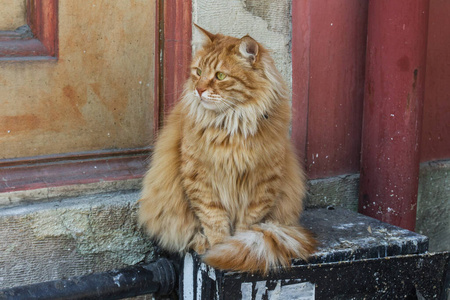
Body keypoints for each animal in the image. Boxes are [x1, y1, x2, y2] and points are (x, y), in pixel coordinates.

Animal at [138, 25, 316, 274]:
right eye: (198, 72)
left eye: (220, 76)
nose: (198, 89)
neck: (232, 124)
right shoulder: (200, 178)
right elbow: (213, 219)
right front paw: (219, 247)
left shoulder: (263, 181)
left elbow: (247, 223)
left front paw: (237, 246)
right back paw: (200, 242)